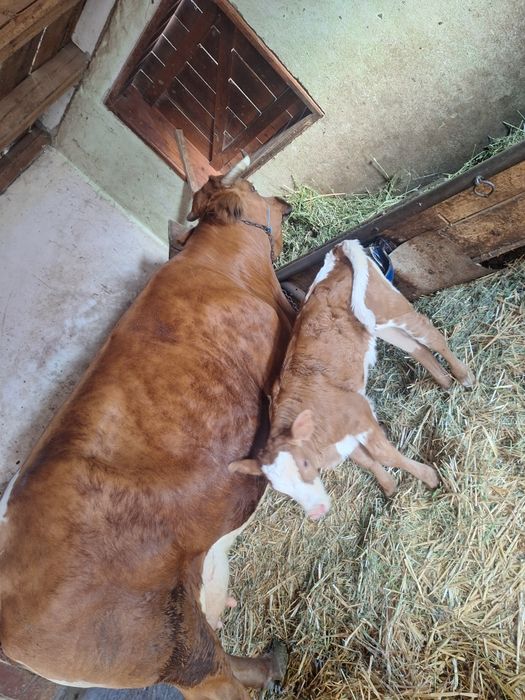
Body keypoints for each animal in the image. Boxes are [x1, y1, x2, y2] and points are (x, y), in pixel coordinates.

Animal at [0, 157, 295, 699]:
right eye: (252, 184)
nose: (284, 201)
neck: (232, 268)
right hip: (169, 644)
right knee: (214, 675)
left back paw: (273, 660)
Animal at [229, 239, 474, 519]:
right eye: (281, 490)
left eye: (304, 463)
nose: (316, 512)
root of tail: (336, 251)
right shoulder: (344, 439)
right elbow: (367, 461)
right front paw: (389, 487)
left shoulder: (360, 415)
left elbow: (384, 455)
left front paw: (429, 477)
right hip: (380, 325)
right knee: (416, 349)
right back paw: (445, 382)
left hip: (392, 308)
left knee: (432, 337)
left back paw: (464, 376)